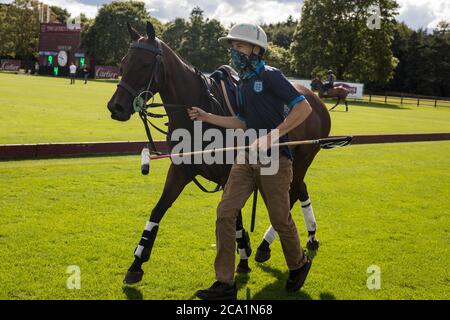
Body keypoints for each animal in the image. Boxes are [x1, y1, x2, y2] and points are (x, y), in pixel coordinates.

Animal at [105, 20, 330, 284]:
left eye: (144, 64)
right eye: (122, 63)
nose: (116, 107)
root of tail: (315, 98)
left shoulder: (228, 173)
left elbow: (236, 217)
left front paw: (242, 258)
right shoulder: (181, 169)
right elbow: (158, 209)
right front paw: (136, 264)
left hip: (304, 157)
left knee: (290, 196)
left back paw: (267, 245)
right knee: (298, 190)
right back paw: (308, 237)